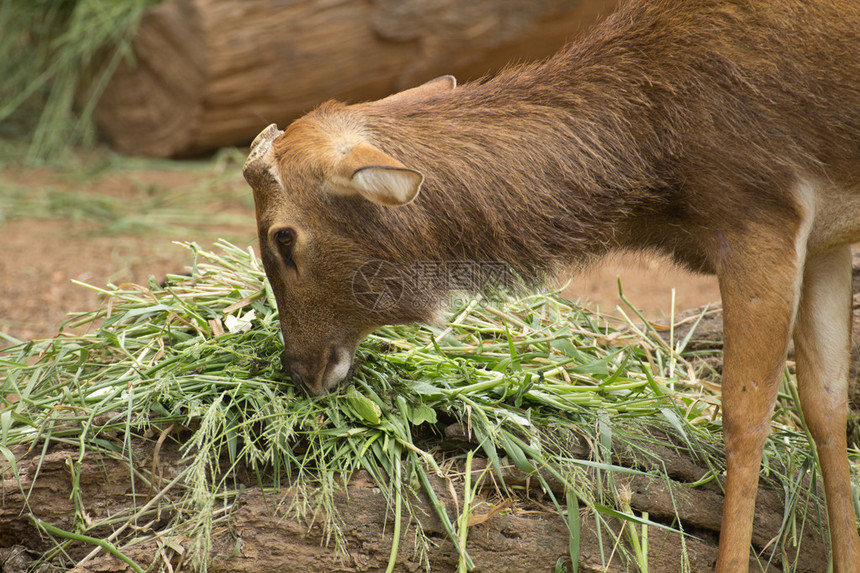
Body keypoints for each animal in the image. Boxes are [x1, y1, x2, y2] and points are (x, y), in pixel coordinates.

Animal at [244, 0, 860, 568]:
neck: (657, 162)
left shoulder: (757, 219)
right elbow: (826, 407)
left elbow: (744, 417)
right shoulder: (826, 241)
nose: (301, 370)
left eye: (282, 237)